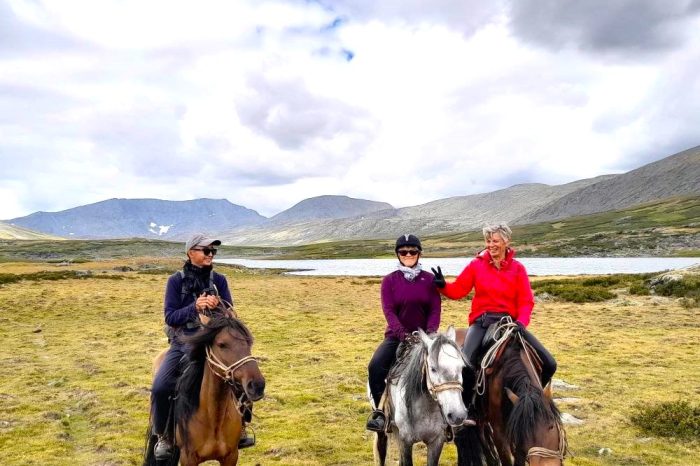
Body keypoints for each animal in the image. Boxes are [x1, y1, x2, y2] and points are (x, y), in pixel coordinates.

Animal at [142, 312, 266, 464]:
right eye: (222, 344)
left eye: (248, 342)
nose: (257, 385)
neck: (214, 417)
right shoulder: (188, 458)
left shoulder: (231, 456)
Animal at [372, 326, 470, 466]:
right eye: (433, 368)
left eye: (461, 367)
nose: (458, 415)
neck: (425, 408)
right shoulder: (406, 441)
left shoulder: (436, 441)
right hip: (383, 430)